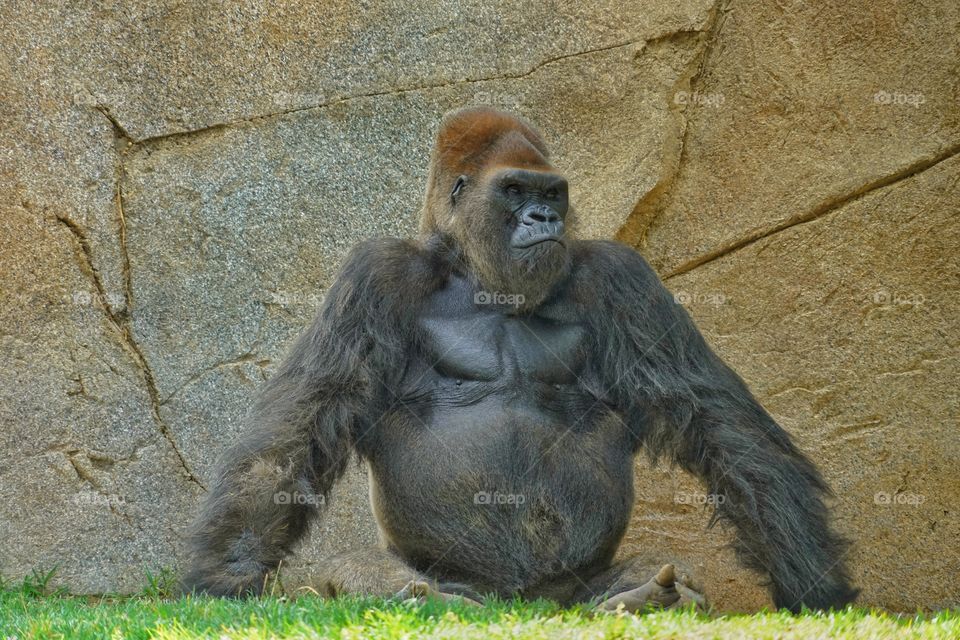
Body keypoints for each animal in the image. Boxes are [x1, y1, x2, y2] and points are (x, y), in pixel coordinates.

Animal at [182, 106, 858, 613]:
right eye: (515, 190)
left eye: (551, 192)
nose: (544, 216)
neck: (473, 267)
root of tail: (521, 604)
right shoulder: (374, 274)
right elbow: (299, 428)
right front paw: (224, 576)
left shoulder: (622, 276)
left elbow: (717, 420)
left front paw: (814, 579)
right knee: (358, 573)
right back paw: (418, 594)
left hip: (569, 594)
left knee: (641, 577)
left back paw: (648, 593)